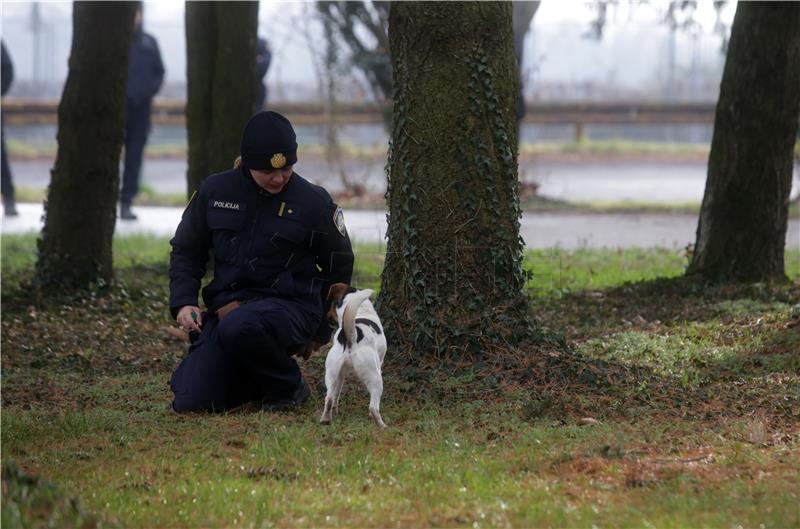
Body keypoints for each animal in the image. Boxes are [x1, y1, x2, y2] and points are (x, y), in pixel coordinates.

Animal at [324, 282, 390, 426]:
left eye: (331, 305)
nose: (327, 316)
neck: (360, 311)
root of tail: (351, 335)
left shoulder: (341, 374)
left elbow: (336, 394)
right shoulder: (380, 363)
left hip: (331, 374)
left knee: (329, 398)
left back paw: (325, 419)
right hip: (375, 378)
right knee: (373, 407)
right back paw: (382, 425)